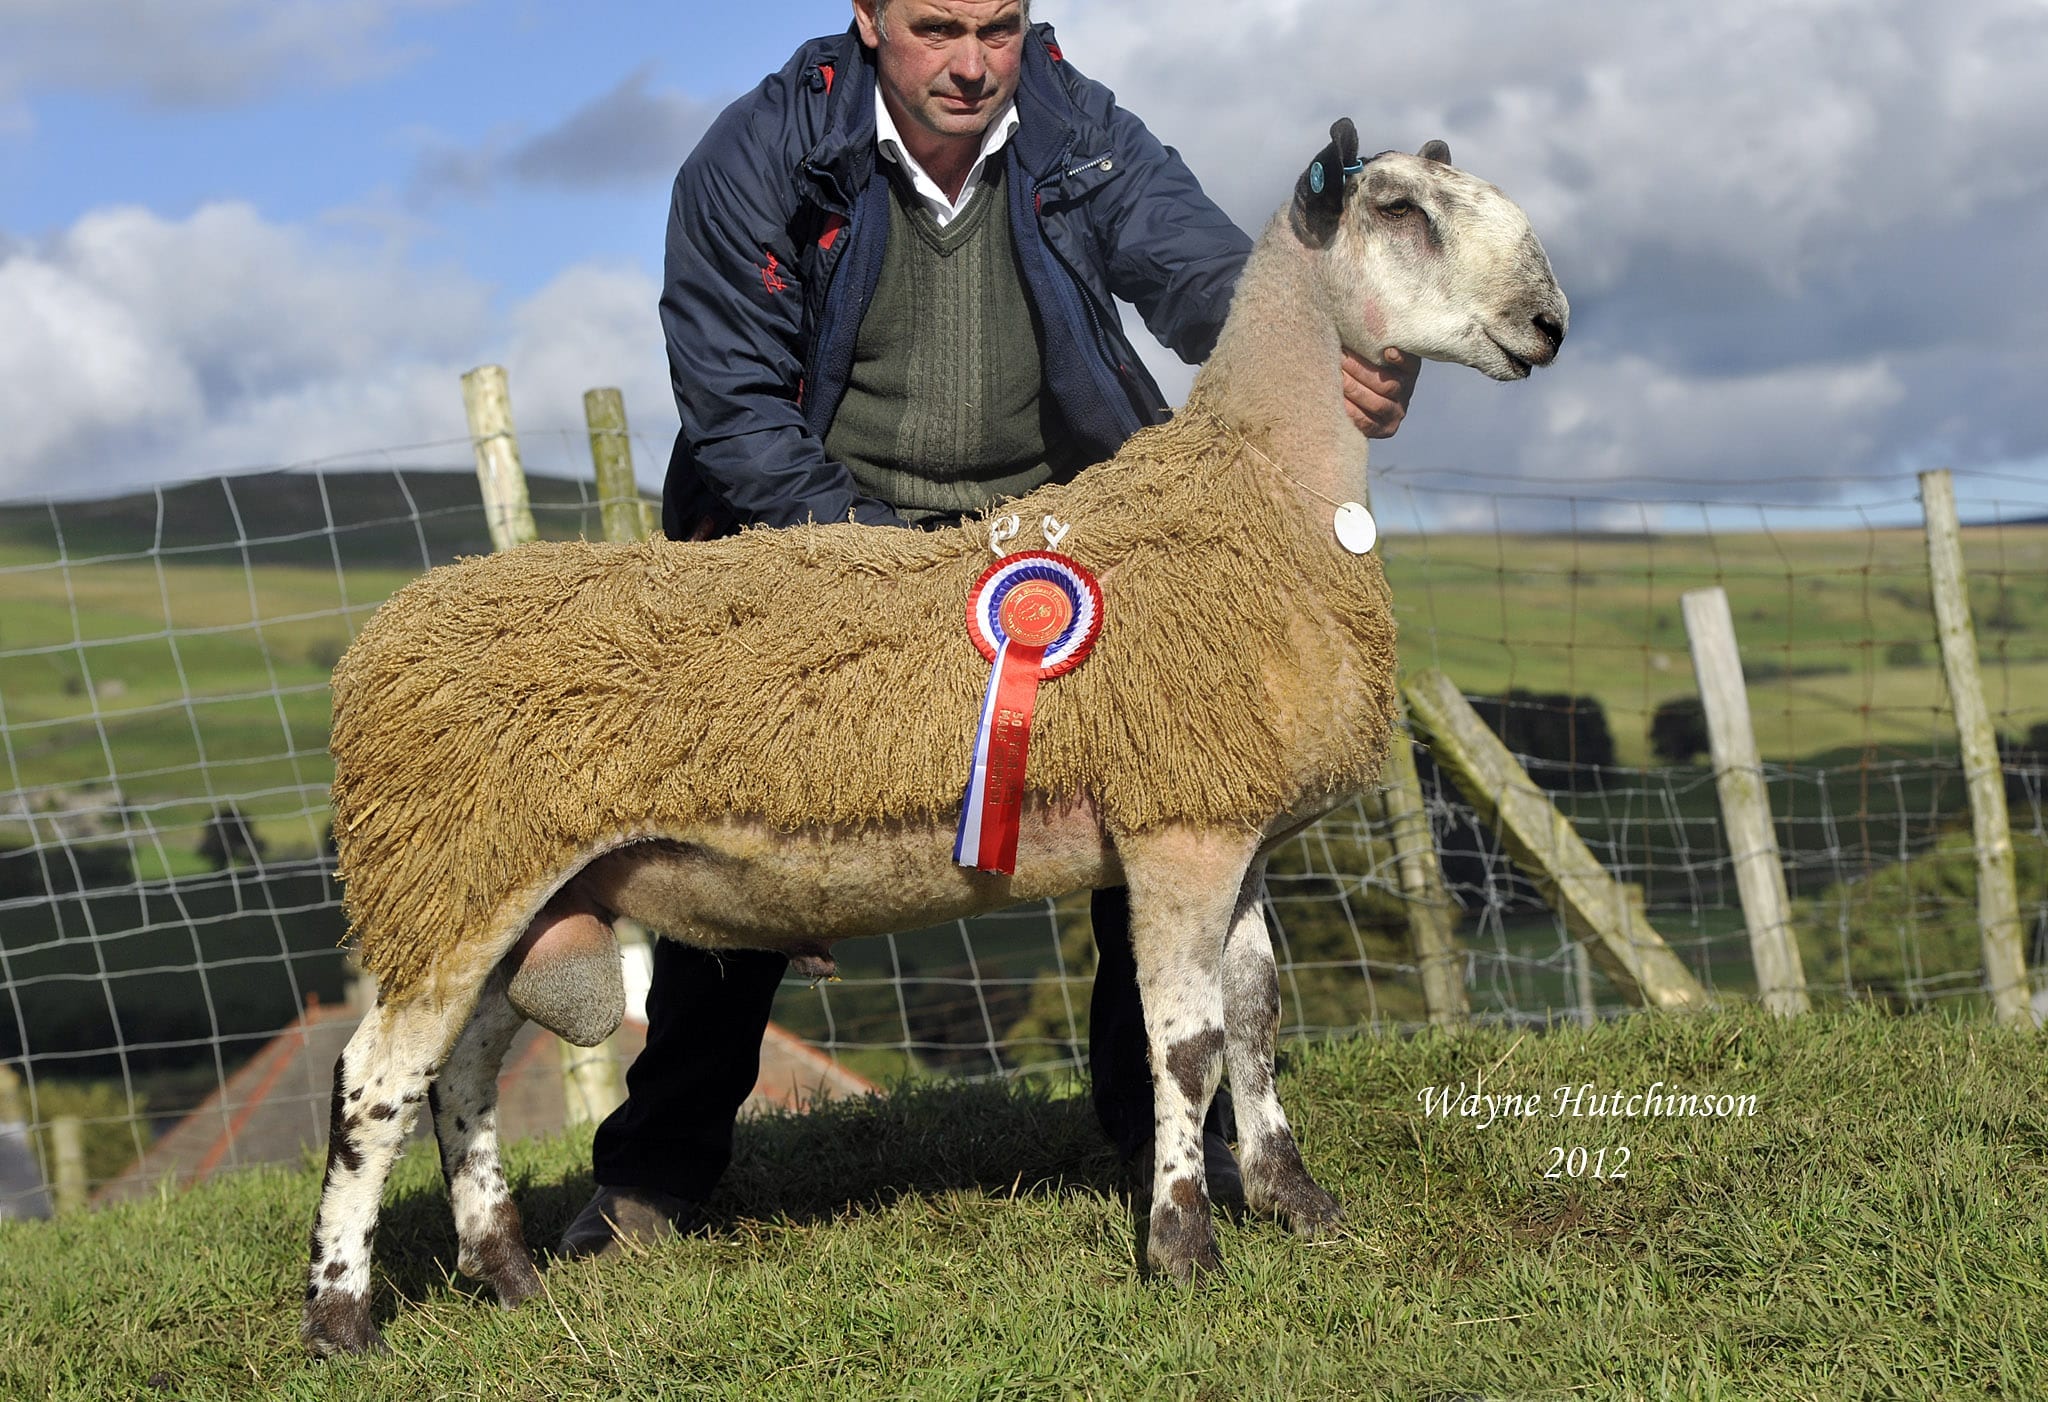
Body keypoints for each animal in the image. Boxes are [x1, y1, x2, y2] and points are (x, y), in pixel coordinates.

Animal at [296, 122, 1556, 1359]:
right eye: (1399, 212)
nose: (1548, 324)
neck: (1266, 487)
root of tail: (380, 642)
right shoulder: (1178, 832)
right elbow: (1187, 1045)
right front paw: (1181, 1247)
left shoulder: (1230, 822)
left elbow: (1253, 1022)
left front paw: (1296, 1202)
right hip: (449, 876)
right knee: (374, 1081)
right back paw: (340, 1316)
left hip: (503, 888)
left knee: (457, 1076)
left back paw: (503, 1274)